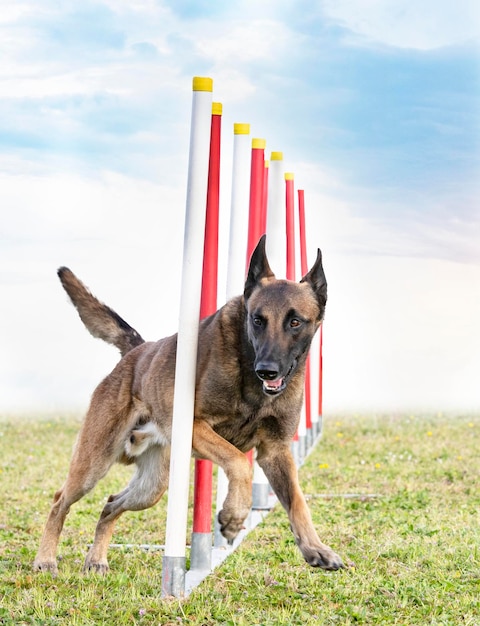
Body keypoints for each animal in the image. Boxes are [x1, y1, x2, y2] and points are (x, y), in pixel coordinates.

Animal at [33, 236, 344, 572]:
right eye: (257, 320)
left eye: (295, 322)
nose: (267, 370)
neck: (250, 378)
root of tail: (139, 350)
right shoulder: (197, 427)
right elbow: (238, 462)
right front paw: (233, 515)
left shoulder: (276, 452)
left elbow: (297, 501)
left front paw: (315, 548)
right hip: (94, 463)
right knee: (60, 500)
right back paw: (46, 558)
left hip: (152, 486)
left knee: (111, 504)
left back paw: (96, 558)